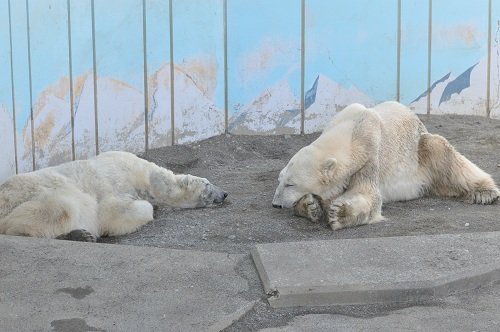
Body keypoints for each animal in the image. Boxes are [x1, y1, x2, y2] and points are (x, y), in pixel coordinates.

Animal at [0, 151, 227, 241]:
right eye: (208, 184)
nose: (224, 193)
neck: (146, 178)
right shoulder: (116, 181)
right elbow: (111, 213)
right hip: (29, 196)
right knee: (61, 209)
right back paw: (78, 235)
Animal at [274, 102, 500, 231]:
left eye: (291, 184)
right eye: (280, 180)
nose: (275, 204)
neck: (351, 129)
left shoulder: (369, 154)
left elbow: (368, 194)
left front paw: (339, 213)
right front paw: (310, 206)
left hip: (420, 152)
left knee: (443, 151)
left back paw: (485, 192)